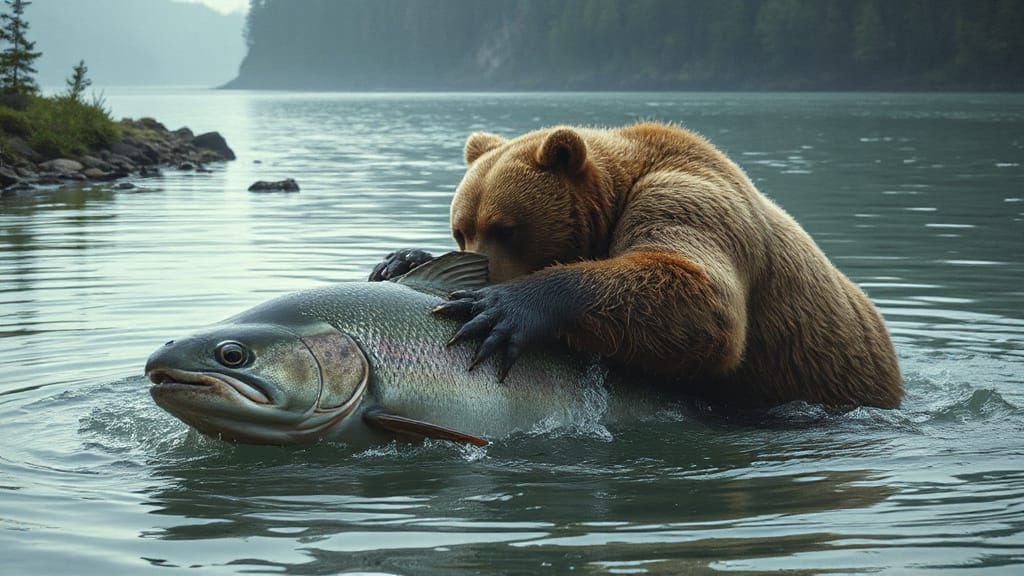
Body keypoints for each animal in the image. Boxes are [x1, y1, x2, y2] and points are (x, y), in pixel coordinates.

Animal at [373, 122, 903, 409]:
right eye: (460, 230)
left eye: (506, 228)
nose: (481, 270)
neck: (615, 197)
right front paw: (399, 259)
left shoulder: (682, 198)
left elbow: (701, 296)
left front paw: (501, 308)